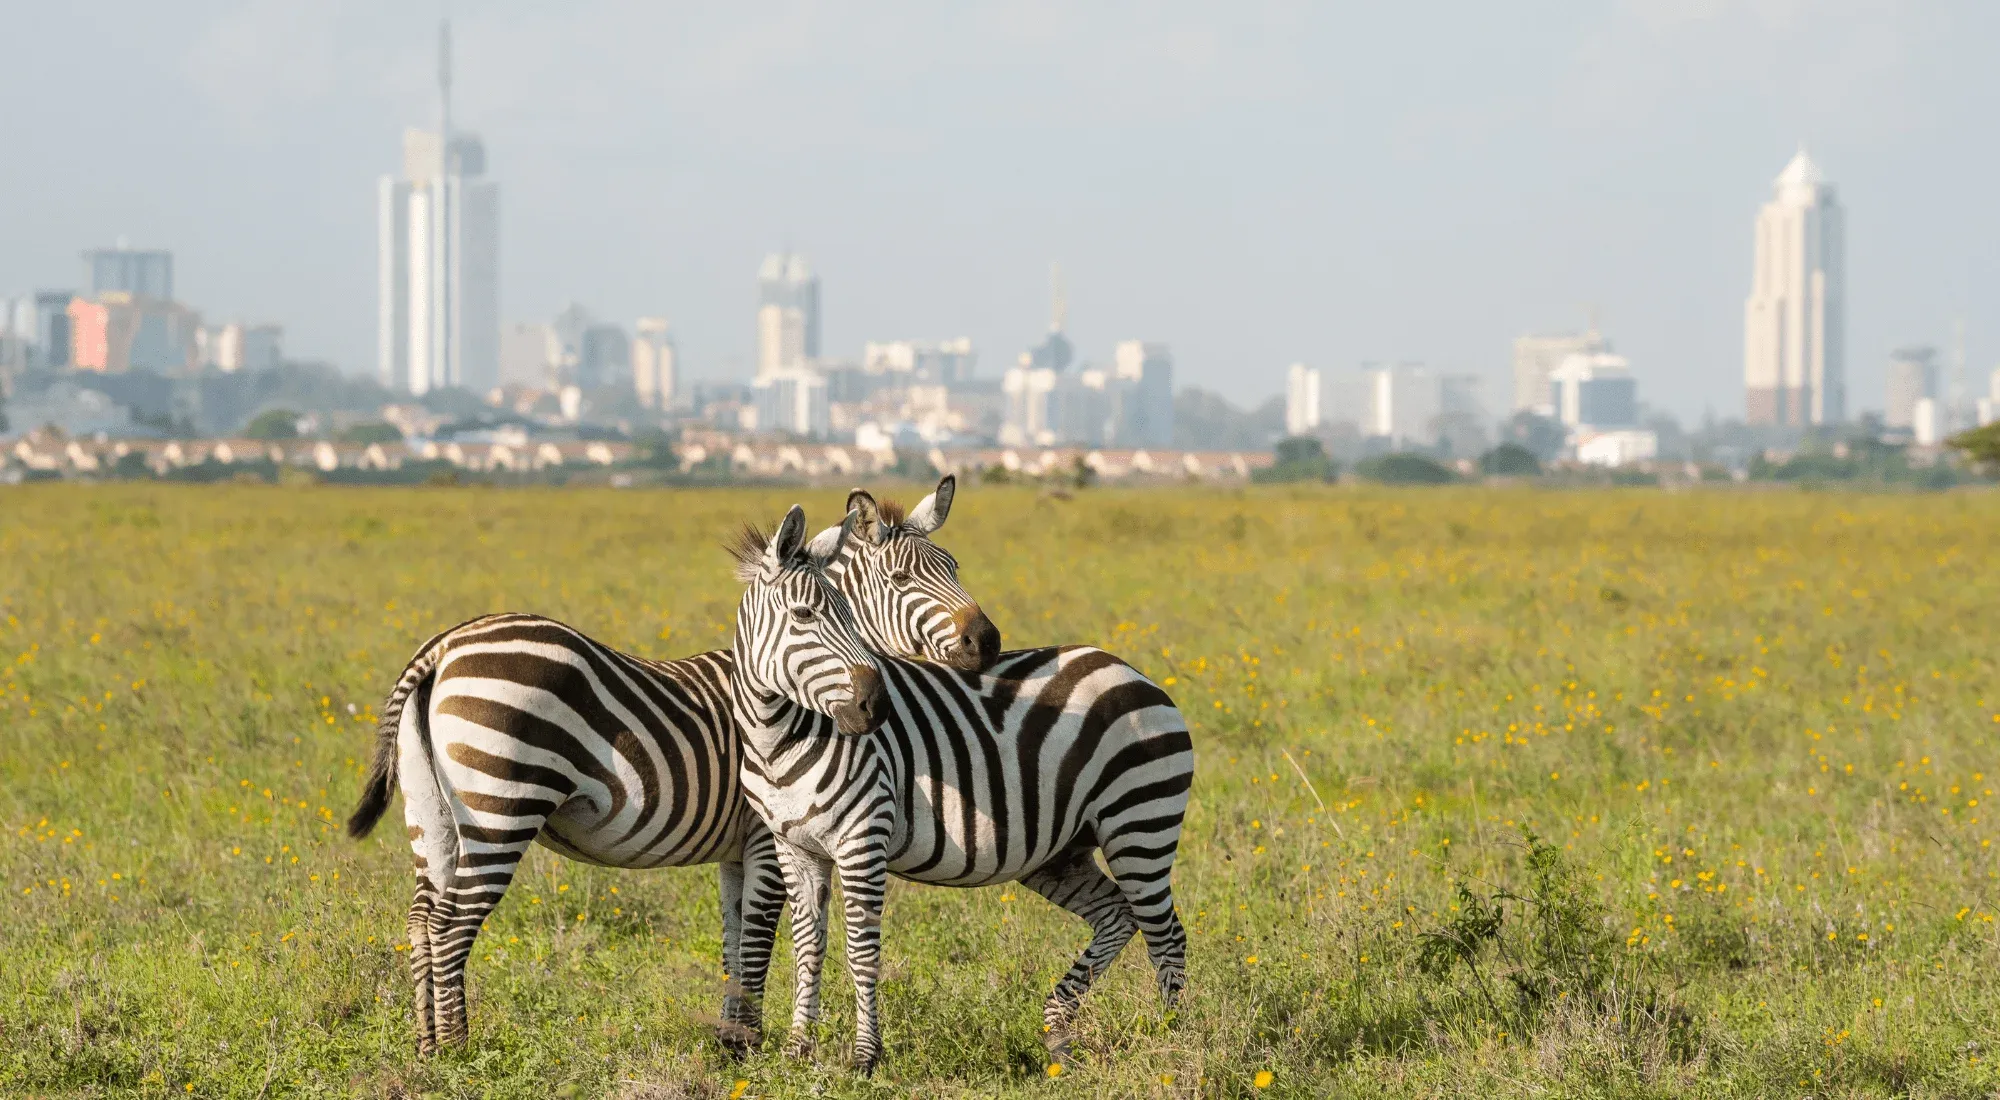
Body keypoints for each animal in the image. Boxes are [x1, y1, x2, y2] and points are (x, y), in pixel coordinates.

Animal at [740, 504, 1192, 1080]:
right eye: (803, 615)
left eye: (847, 615)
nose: (875, 706)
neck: (781, 737)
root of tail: (1133, 671)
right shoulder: (794, 847)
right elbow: (806, 946)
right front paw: (799, 1049)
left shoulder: (862, 841)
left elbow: (861, 951)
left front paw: (866, 1056)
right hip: (1061, 852)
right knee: (1118, 916)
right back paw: (1059, 1033)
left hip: (1141, 823)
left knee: (1166, 934)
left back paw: (1175, 1041)